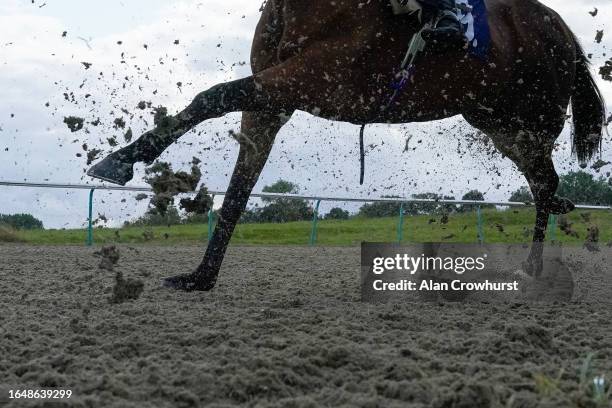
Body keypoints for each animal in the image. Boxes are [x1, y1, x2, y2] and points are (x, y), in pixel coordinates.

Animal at [87, 0, 608, 290]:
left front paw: (119, 160)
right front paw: (201, 275)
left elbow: (212, 95)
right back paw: (542, 246)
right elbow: (237, 187)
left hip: (528, 121)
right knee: (545, 184)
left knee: (545, 183)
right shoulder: (272, 97)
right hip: (497, 122)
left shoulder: (314, 77)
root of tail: (561, 26)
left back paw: (534, 265)